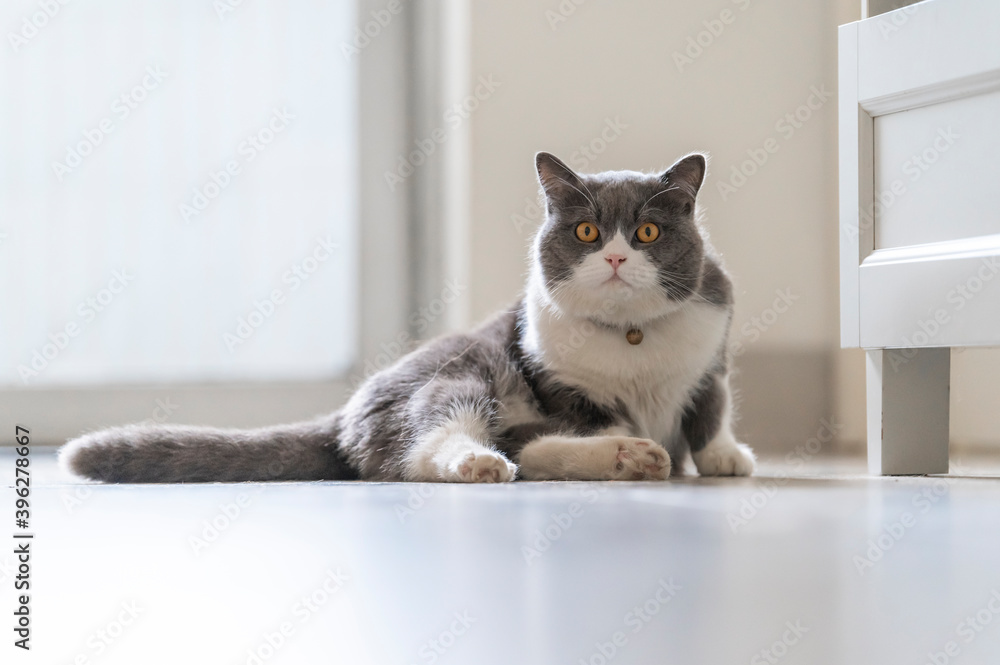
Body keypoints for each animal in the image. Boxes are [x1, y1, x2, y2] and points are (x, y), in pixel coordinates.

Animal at [58, 150, 752, 482]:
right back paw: (502, 462)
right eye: (586, 231)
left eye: (646, 231)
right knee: (438, 441)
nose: (613, 256)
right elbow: (591, 418)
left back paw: (633, 460)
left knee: (523, 449)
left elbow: (711, 408)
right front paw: (632, 442)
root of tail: (346, 412)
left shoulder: (712, 355)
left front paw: (724, 457)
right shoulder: (562, 385)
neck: (632, 338)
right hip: (462, 369)